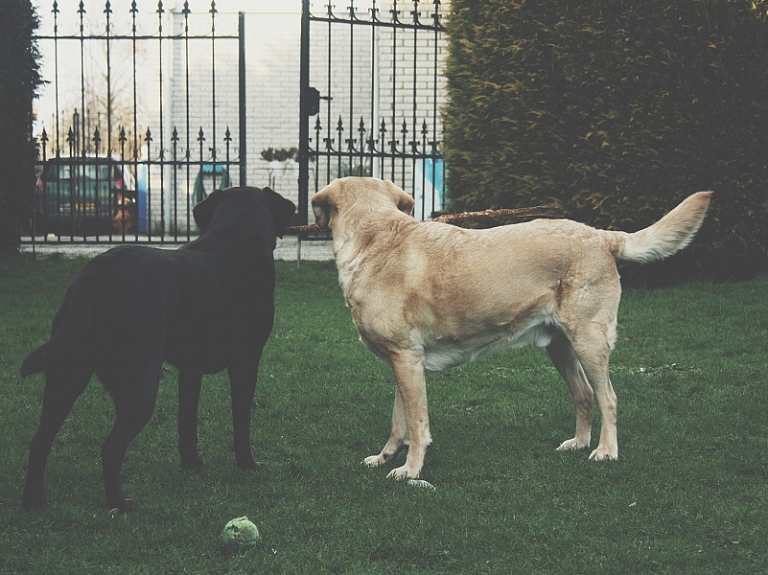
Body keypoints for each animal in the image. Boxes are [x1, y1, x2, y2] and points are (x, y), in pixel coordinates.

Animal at [20, 187, 296, 510]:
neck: (236, 233)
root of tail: (99, 274)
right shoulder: (246, 362)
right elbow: (241, 420)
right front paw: (248, 465)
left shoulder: (190, 369)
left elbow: (187, 421)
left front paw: (192, 465)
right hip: (141, 384)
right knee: (111, 447)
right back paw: (120, 505)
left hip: (67, 373)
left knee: (40, 441)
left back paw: (33, 502)